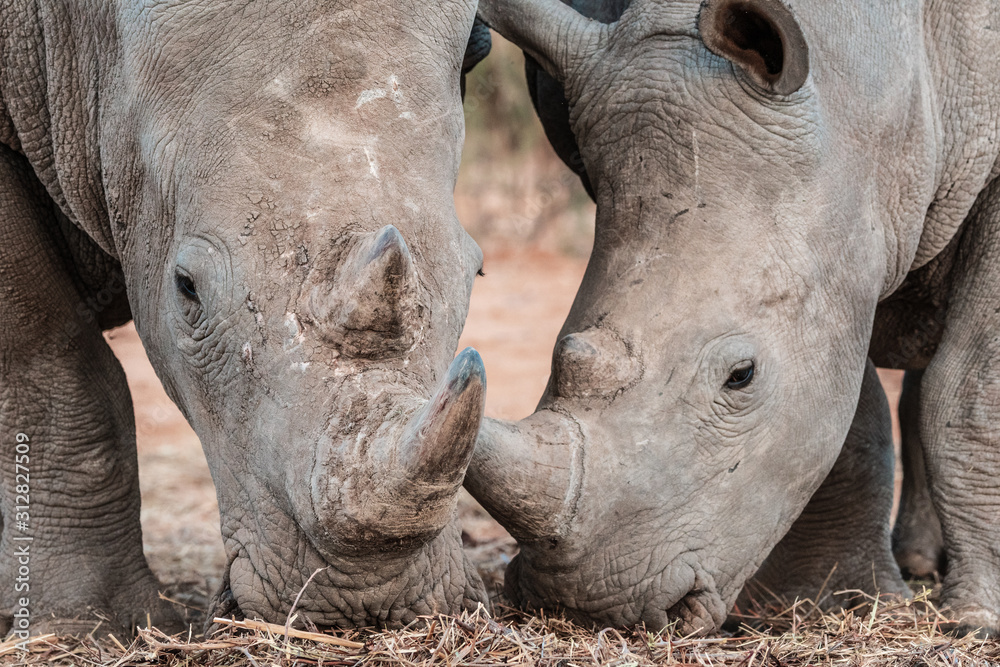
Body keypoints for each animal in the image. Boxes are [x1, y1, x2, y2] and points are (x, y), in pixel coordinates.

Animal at [1, 0, 492, 636]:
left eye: (475, 272)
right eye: (187, 290)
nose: (362, 604)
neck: (79, 38)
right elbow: (46, 359)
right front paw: (98, 623)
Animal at [470, 0, 1000, 637]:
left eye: (740, 376)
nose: (584, 603)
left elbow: (969, 395)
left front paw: (975, 620)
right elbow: (848, 410)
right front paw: (839, 600)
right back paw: (916, 561)